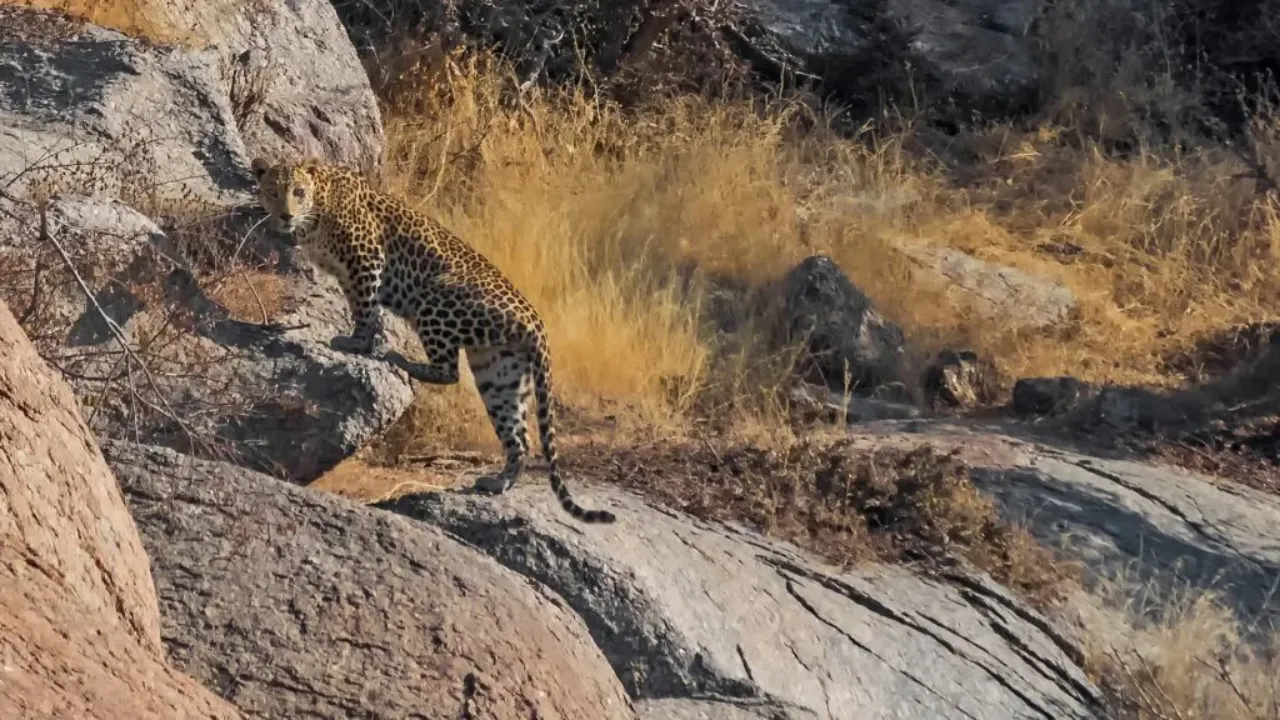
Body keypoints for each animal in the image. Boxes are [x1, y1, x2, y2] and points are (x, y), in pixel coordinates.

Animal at [247, 155, 616, 520]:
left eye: (298, 192)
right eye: (273, 191)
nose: (285, 215)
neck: (318, 207)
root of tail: (536, 321)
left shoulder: (366, 257)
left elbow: (365, 308)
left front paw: (358, 343)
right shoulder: (348, 275)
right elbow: (362, 307)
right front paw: (365, 339)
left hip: (435, 296)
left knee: (449, 371)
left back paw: (400, 360)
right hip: (499, 371)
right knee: (519, 436)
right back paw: (498, 482)